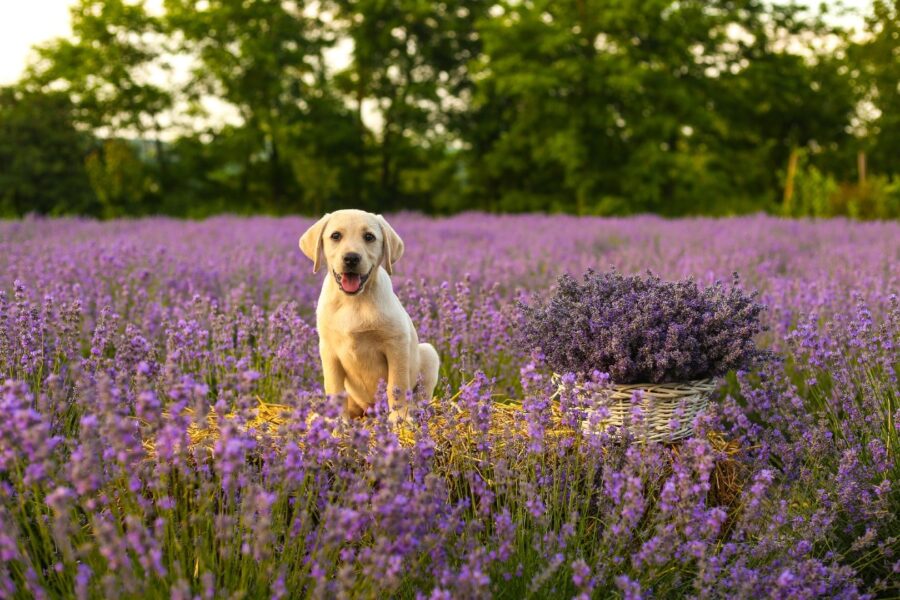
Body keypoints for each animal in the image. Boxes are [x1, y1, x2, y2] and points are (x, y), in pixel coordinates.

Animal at [298, 211, 440, 422]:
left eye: (369, 237)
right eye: (336, 236)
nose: (351, 258)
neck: (354, 301)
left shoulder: (396, 345)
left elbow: (396, 386)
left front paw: (399, 419)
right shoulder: (328, 349)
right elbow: (334, 388)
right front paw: (335, 422)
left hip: (429, 354)